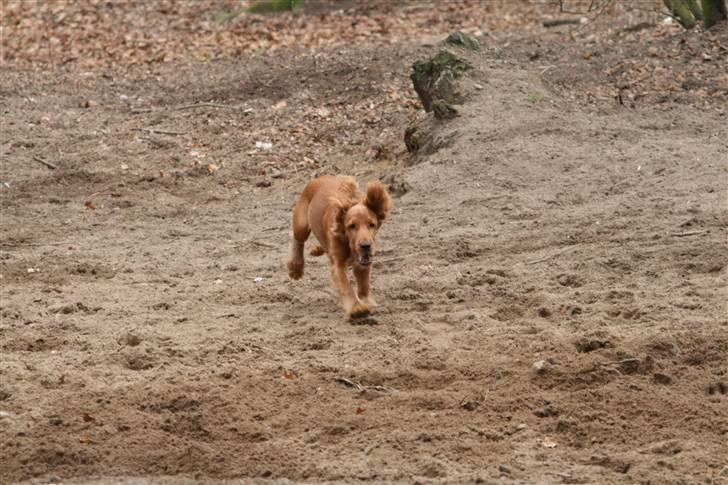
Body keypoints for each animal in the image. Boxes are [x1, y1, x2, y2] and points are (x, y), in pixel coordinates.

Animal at [288, 176, 392, 320]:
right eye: (352, 226)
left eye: (371, 224)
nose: (366, 245)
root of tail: (319, 178)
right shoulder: (337, 264)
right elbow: (346, 286)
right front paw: (356, 308)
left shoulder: (362, 263)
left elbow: (364, 285)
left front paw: (365, 301)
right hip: (301, 226)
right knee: (298, 240)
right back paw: (296, 268)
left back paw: (317, 250)